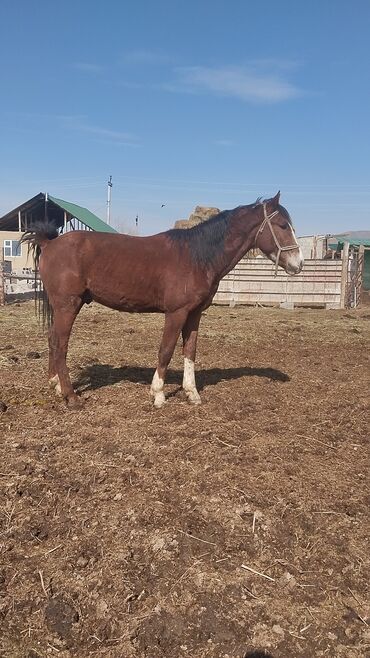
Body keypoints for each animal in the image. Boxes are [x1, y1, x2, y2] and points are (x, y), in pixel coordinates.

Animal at [21, 190, 302, 408]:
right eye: (282, 226)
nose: (298, 264)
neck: (196, 256)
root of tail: (50, 243)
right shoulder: (176, 313)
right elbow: (166, 350)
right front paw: (158, 394)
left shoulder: (194, 314)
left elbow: (190, 351)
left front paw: (192, 393)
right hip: (68, 304)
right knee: (60, 344)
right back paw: (71, 396)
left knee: (52, 340)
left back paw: (56, 385)